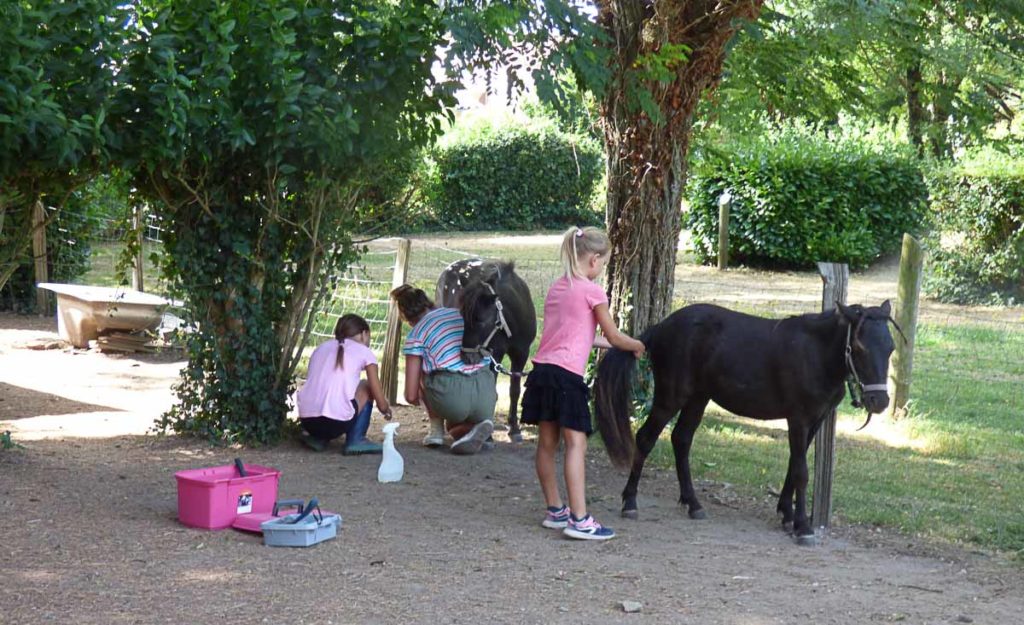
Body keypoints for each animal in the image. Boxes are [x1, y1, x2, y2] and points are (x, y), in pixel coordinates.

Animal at [436, 255, 540, 440]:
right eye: (462, 316)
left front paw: (514, 427)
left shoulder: (521, 353)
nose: (467, 356)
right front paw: (488, 433)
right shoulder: (493, 356)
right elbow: (492, 394)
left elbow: (514, 390)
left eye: (481, 320)